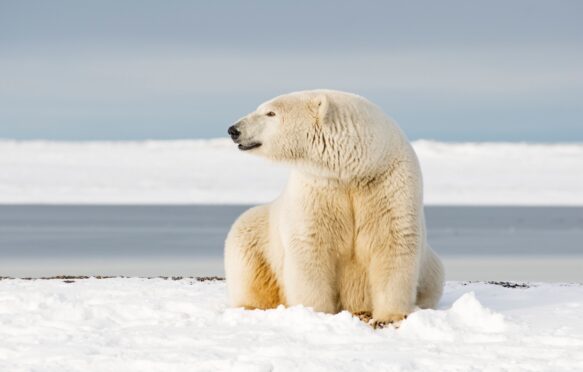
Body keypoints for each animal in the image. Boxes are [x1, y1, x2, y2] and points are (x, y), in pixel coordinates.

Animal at [226, 90, 444, 326]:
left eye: (270, 113)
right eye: (263, 109)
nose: (234, 130)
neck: (356, 170)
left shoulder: (389, 184)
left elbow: (392, 241)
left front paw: (389, 316)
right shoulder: (318, 187)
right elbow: (311, 246)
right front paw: (315, 312)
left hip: (431, 267)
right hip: (257, 233)